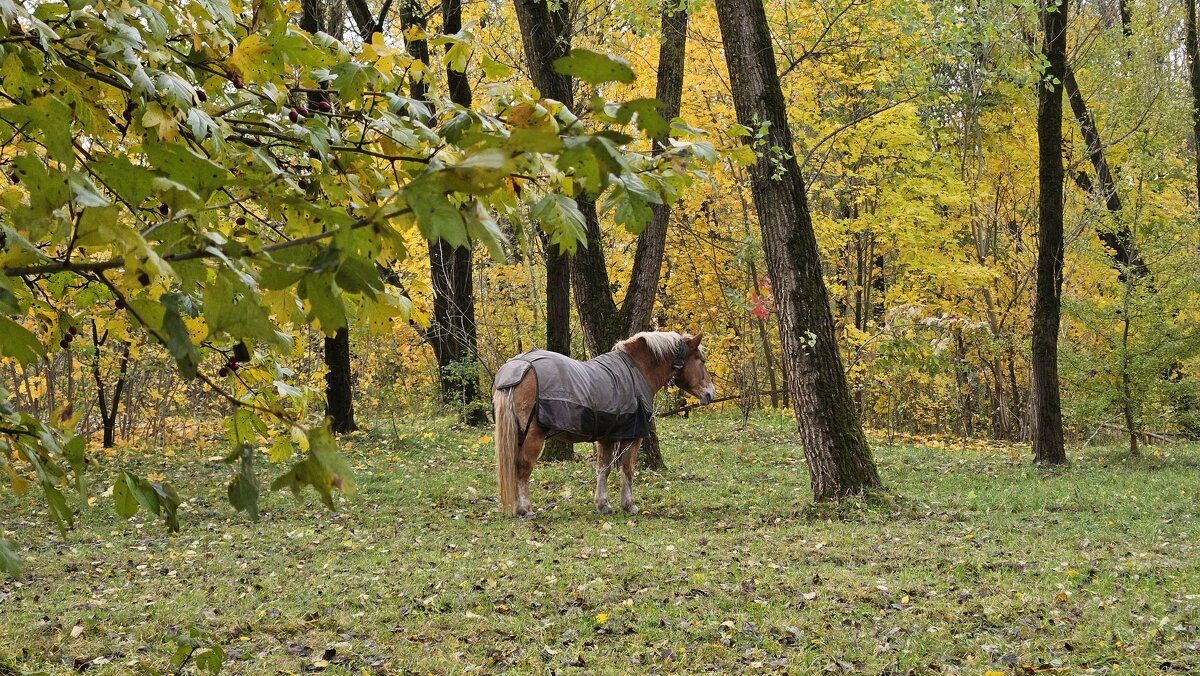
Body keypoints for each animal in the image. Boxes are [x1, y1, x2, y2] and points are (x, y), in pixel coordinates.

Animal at [489, 333, 710, 518]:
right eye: (702, 360)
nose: (710, 393)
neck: (636, 371)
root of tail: (519, 367)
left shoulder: (607, 439)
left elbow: (603, 469)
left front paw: (603, 505)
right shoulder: (632, 438)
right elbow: (627, 470)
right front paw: (629, 505)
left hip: (519, 434)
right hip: (534, 434)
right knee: (523, 466)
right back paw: (525, 509)